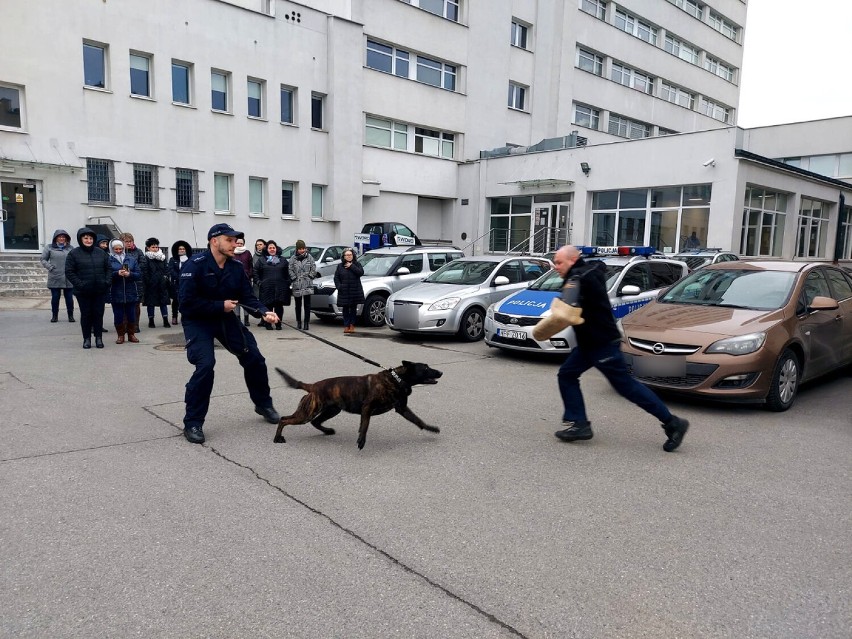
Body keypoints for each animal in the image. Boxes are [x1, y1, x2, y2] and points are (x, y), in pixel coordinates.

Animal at [274, 360, 446, 450]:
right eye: (425, 368)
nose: (441, 373)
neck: (396, 380)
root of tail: (313, 386)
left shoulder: (402, 409)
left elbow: (419, 421)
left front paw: (431, 428)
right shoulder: (367, 408)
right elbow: (365, 426)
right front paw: (361, 440)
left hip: (332, 410)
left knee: (315, 422)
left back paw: (327, 431)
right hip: (307, 413)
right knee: (284, 419)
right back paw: (277, 438)